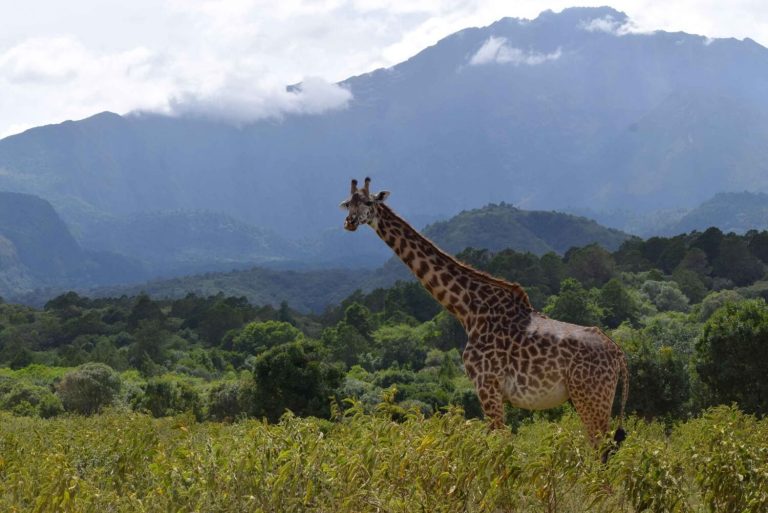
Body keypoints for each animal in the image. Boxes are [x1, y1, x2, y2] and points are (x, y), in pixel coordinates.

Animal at [340, 178, 628, 456]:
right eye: (347, 204)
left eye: (368, 202)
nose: (350, 222)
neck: (468, 310)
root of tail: (618, 354)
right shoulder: (494, 390)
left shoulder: (486, 384)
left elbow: (500, 443)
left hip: (589, 396)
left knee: (601, 449)